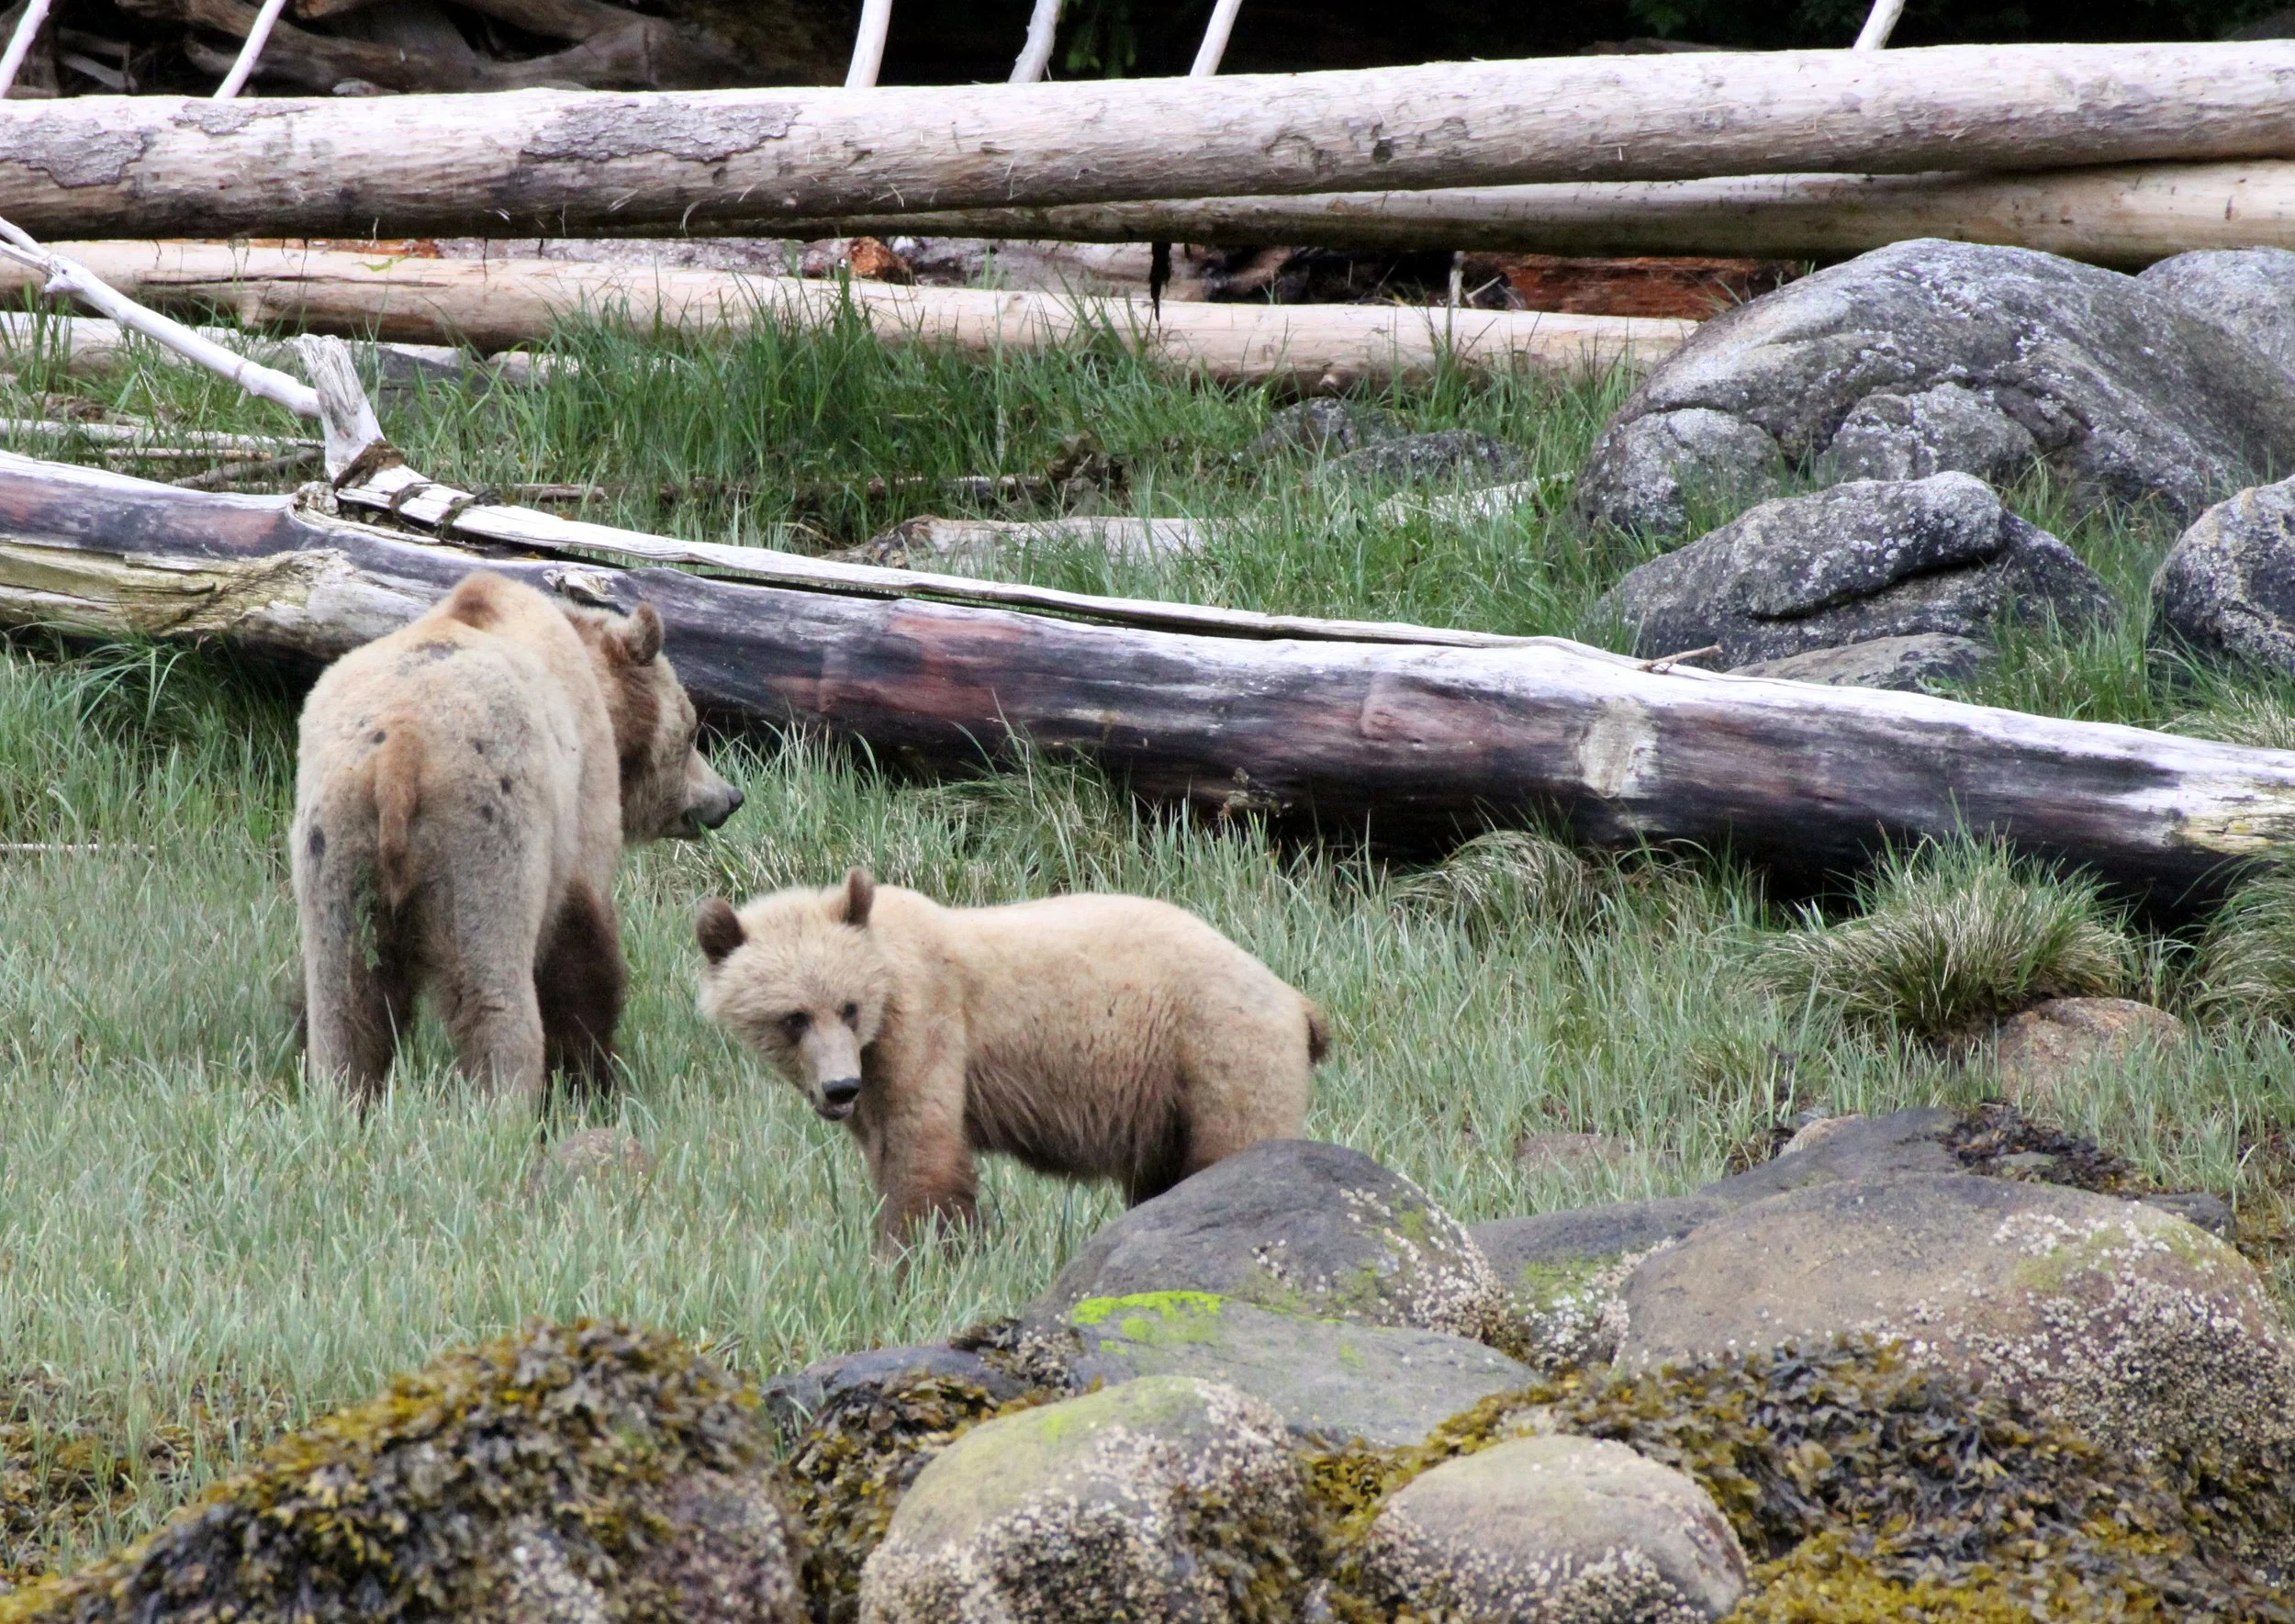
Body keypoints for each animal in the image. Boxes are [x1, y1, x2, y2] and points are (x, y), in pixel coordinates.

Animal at [291, 571, 743, 1106]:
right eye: (693, 731)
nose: (729, 796)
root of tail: (400, 751)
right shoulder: (578, 801)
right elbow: (583, 945)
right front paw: (593, 1079)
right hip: (481, 835)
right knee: (493, 993)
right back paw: (504, 1103)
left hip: (337, 843)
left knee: (348, 999)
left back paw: (344, 1097)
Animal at [692, 868, 1326, 1247]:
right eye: (793, 1017)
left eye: (848, 1007)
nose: (839, 1088)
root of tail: (1295, 999)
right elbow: (886, 1148)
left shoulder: (926, 1023)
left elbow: (923, 1148)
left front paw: (916, 1256)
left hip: (1217, 1048)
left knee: (1237, 1147)